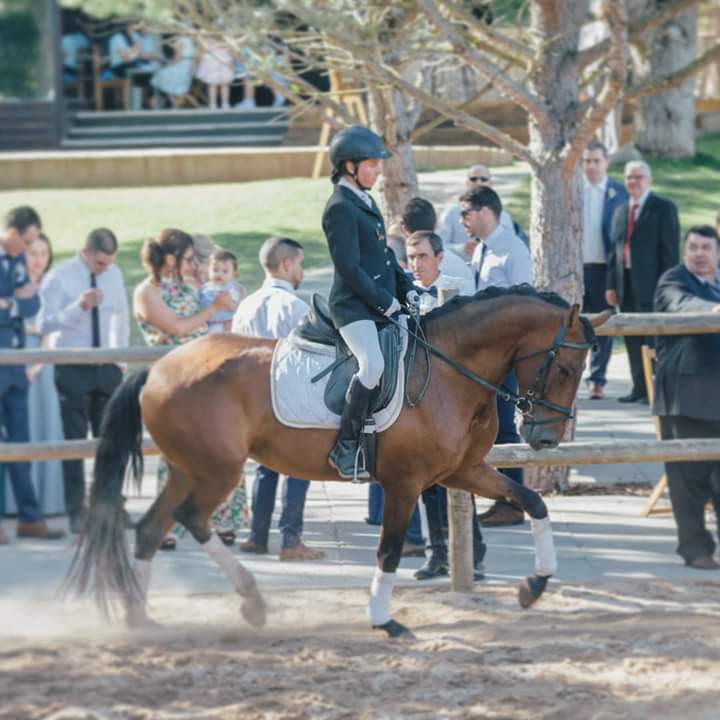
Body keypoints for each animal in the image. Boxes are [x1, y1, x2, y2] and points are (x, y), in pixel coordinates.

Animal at [66, 286, 608, 636]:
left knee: (151, 528)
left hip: (187, 468)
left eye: (579, 368)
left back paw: (142, 619)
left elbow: (533, 502)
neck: (450, 369)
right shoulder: (405, 483)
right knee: (190, 518)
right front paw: (383, 619)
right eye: (564, 367)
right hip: (218, 470)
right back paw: (252, 603)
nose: (544, 438)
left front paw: (534, 585)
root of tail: (158, 368)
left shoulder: (463, 471)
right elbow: (389, 551)